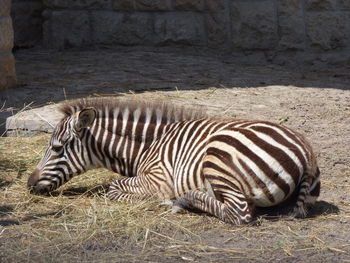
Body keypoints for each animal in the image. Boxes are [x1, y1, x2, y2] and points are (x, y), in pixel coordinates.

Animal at [28, 98, 322, 226]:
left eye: (56, 148)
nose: (29, 184)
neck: (145, 146)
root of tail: (307, 151)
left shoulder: (156, 179)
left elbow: (112, 188)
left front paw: (163, 199)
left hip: (217, 157)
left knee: (239, 214)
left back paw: (182, 200)